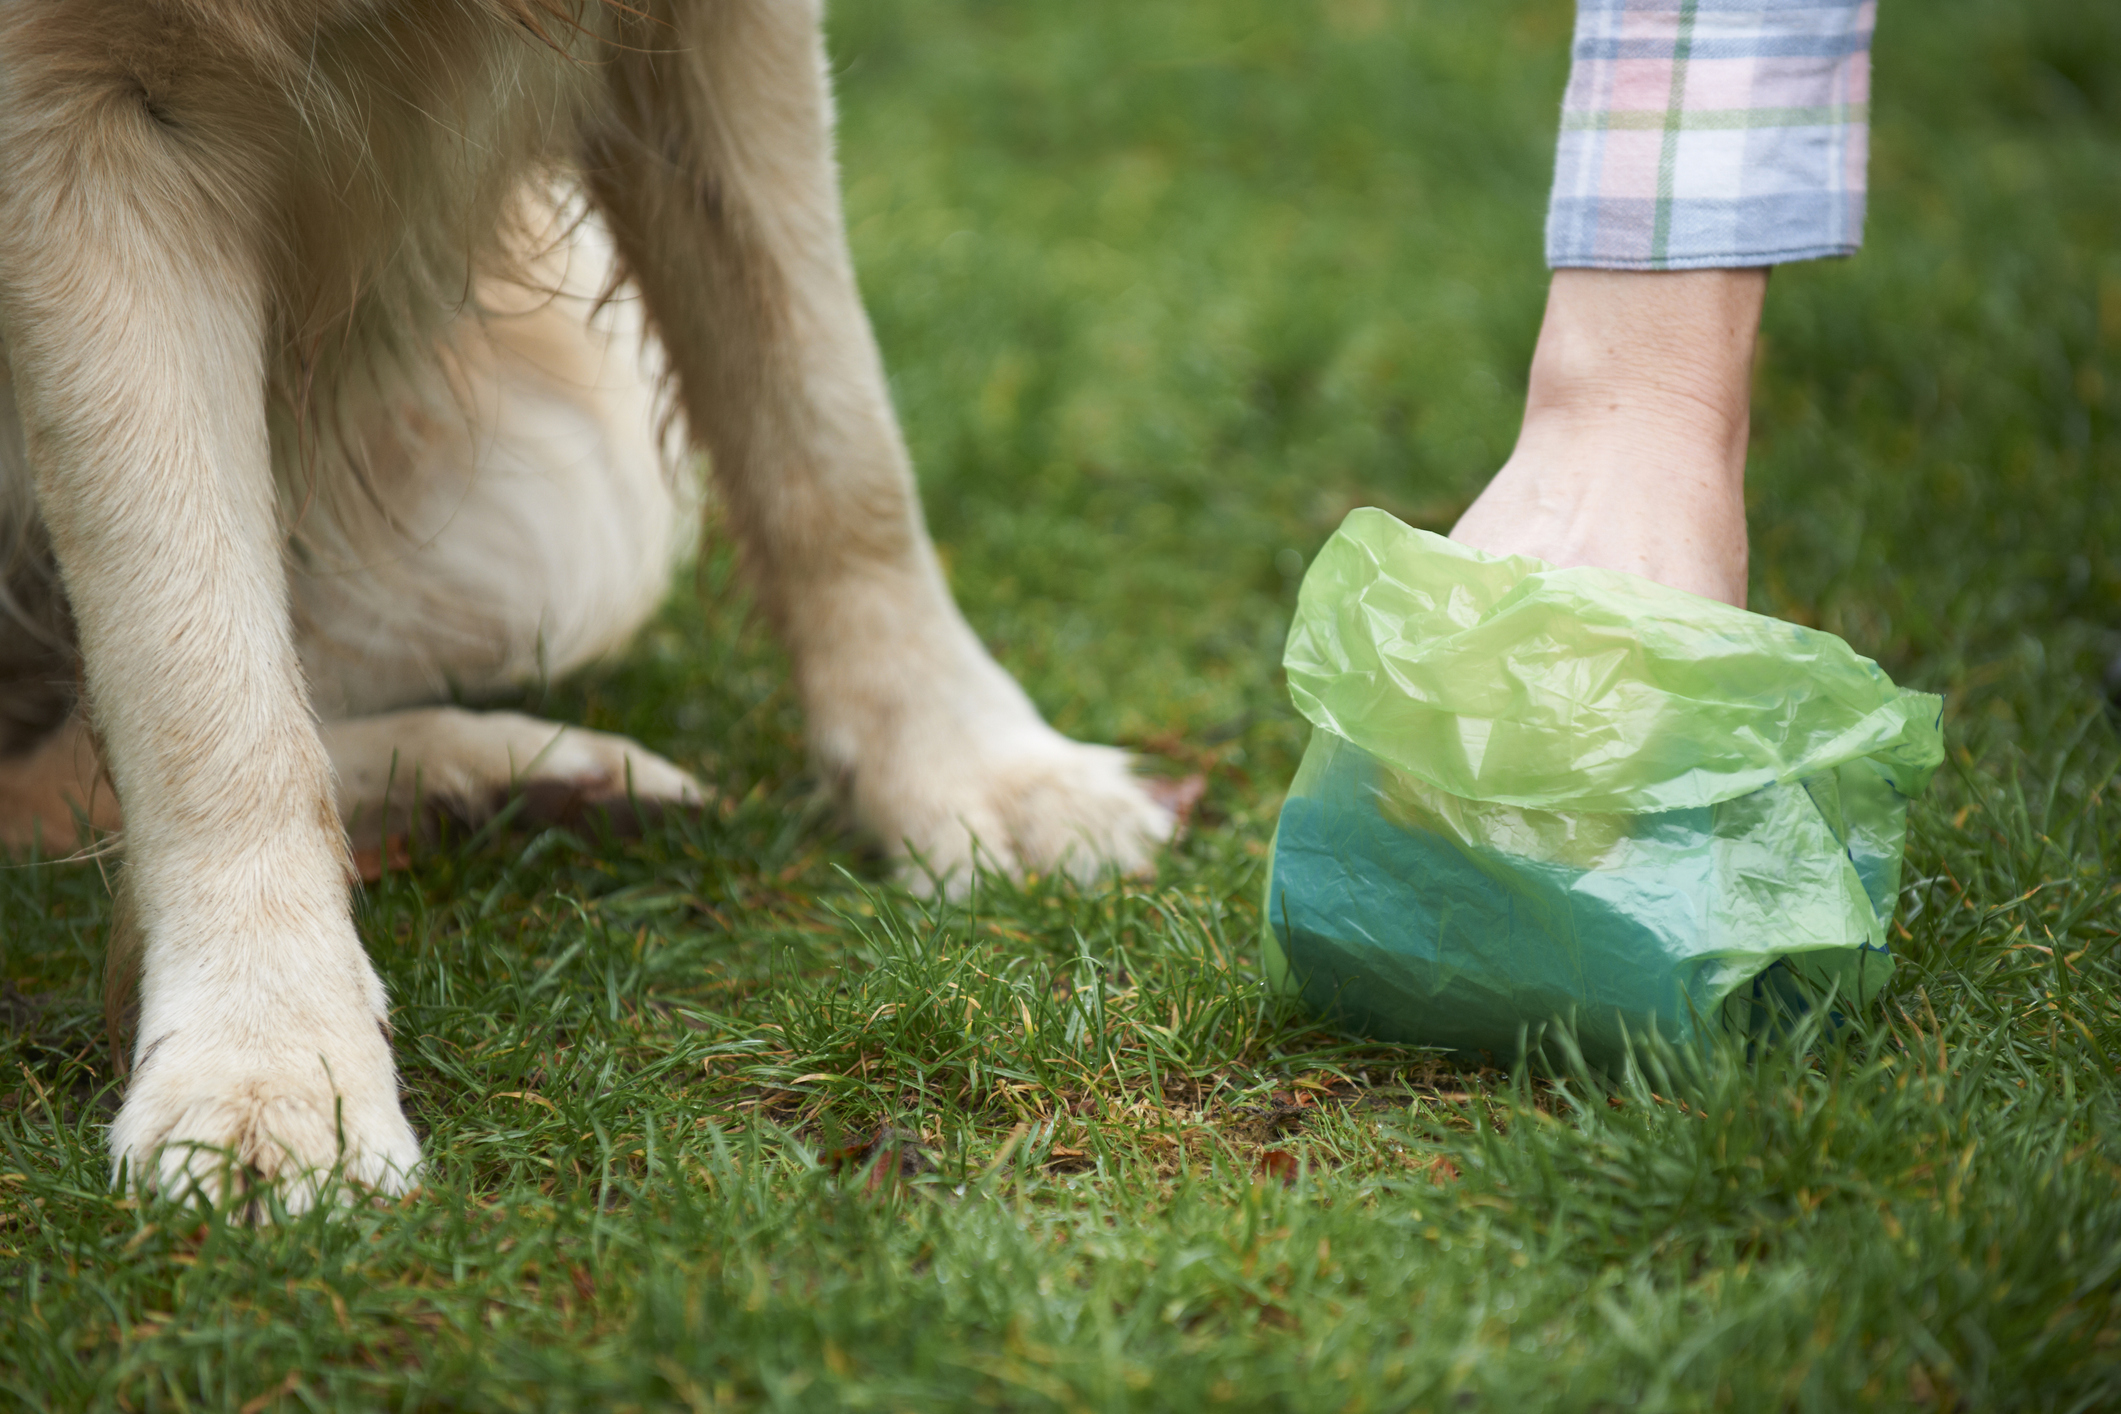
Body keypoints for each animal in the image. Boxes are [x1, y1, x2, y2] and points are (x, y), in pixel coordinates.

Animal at [0, 0, 1179, 1221]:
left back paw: (522, 785)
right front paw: (268, 1062)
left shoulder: (718, 44)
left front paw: (974, 770)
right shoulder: (69, 113)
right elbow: (197, 673)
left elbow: (831, 431)